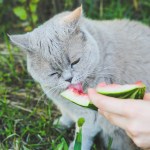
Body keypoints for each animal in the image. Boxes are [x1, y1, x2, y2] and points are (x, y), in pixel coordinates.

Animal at [9, 6, 150, 150]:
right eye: (53, 73)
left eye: (75, 62)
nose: (69, 78)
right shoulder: (65, 107)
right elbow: (66, 115)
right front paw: (60, 124)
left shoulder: (89, 118)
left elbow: (82, 139)